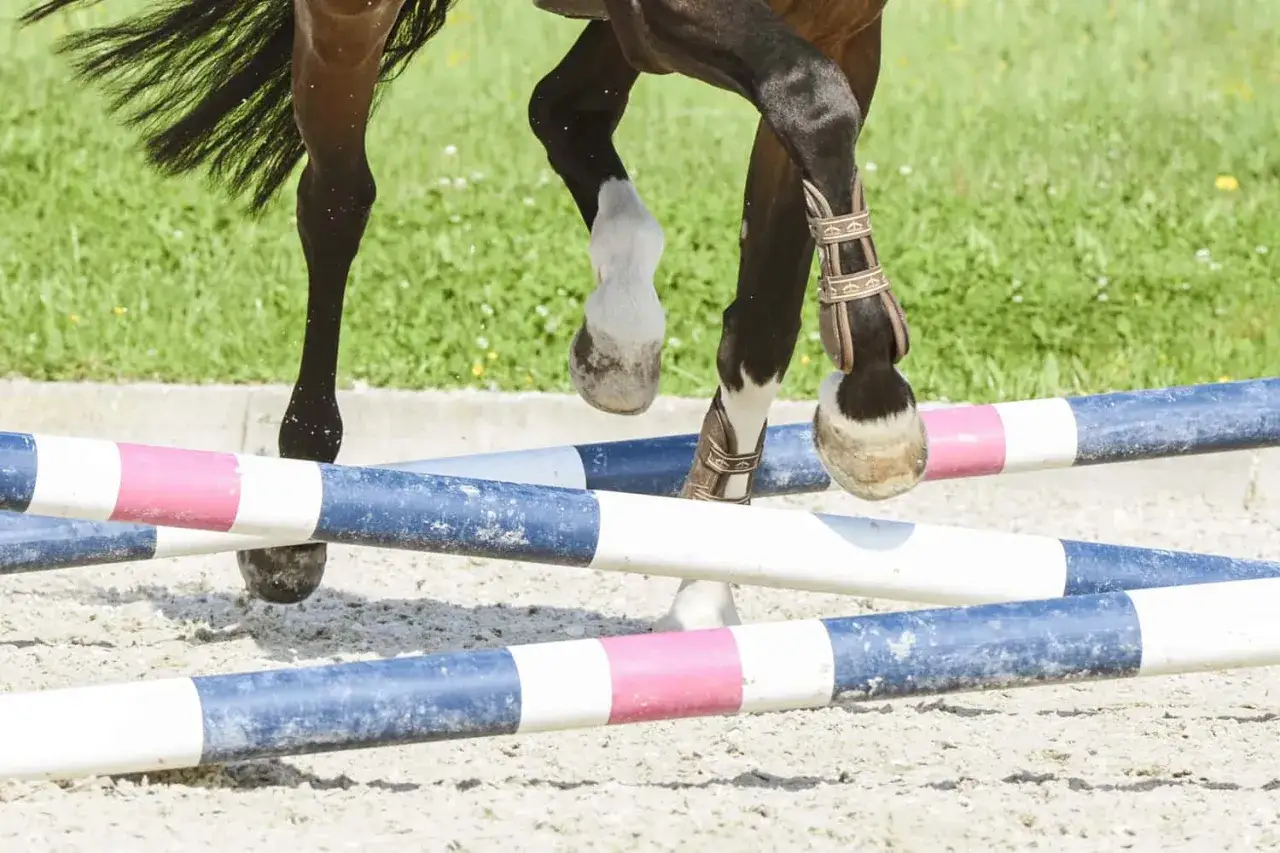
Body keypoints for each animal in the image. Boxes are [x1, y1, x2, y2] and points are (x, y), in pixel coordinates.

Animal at [18, 0, 925, 632]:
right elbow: (811, 100)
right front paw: (874, 408)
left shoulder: (839, 24)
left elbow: (767, 309)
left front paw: (708, 583)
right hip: (351, 20)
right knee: (336, 202)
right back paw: (297, 507)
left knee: (564, 107)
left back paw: (620, 335)